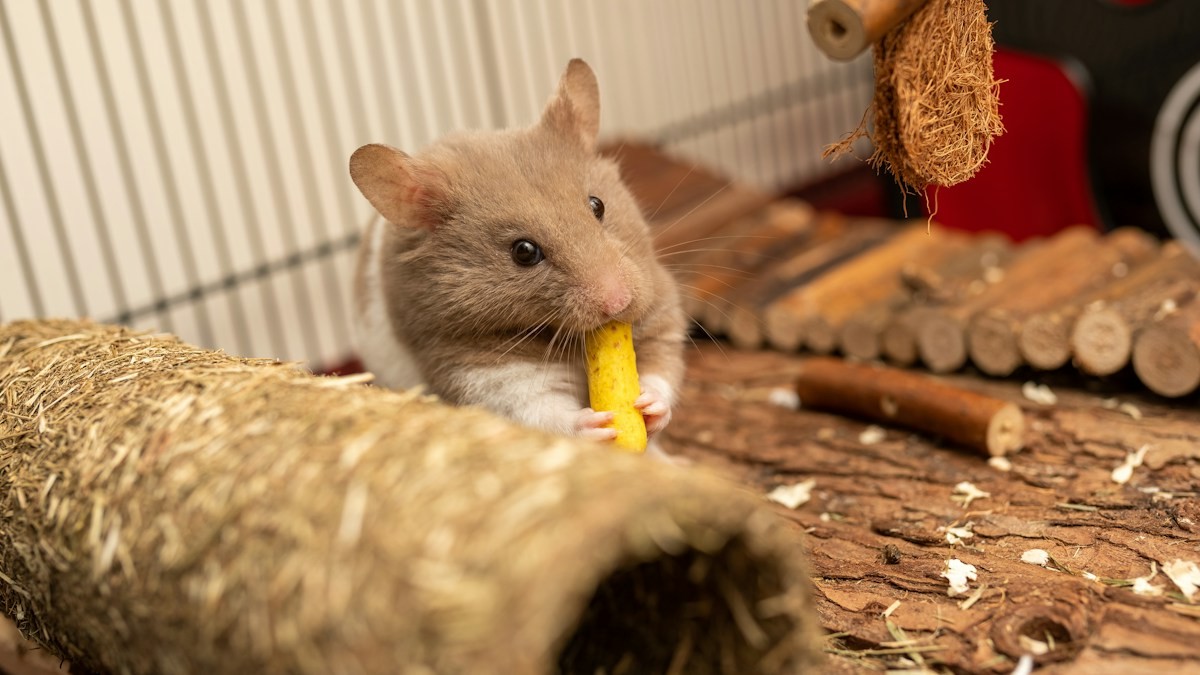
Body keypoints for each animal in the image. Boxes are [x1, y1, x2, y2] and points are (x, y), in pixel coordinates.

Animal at [349, 59, 687, 450]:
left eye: (597, 205)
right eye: (524, 252)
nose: (618, 303)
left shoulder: (660, 309)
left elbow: (662, 368)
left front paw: (648, 405)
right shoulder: (481, 371)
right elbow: (540, 409)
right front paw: (598, 426)